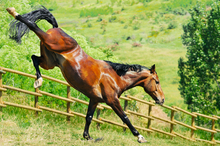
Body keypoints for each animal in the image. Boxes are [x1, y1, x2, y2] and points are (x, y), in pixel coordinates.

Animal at [6, 6, 165, 143]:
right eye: (157, 81)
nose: (162, 100)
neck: (115, 77)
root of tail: (57, 28)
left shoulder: (94, 99)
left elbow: (89, 117)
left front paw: (88, 137)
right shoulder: (112, 101)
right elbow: (125, 117)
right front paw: (140, 137)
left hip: (49, 61)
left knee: (34, 58)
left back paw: (38, 80)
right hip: (50, 43)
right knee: (33, 26)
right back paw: (13, 11)